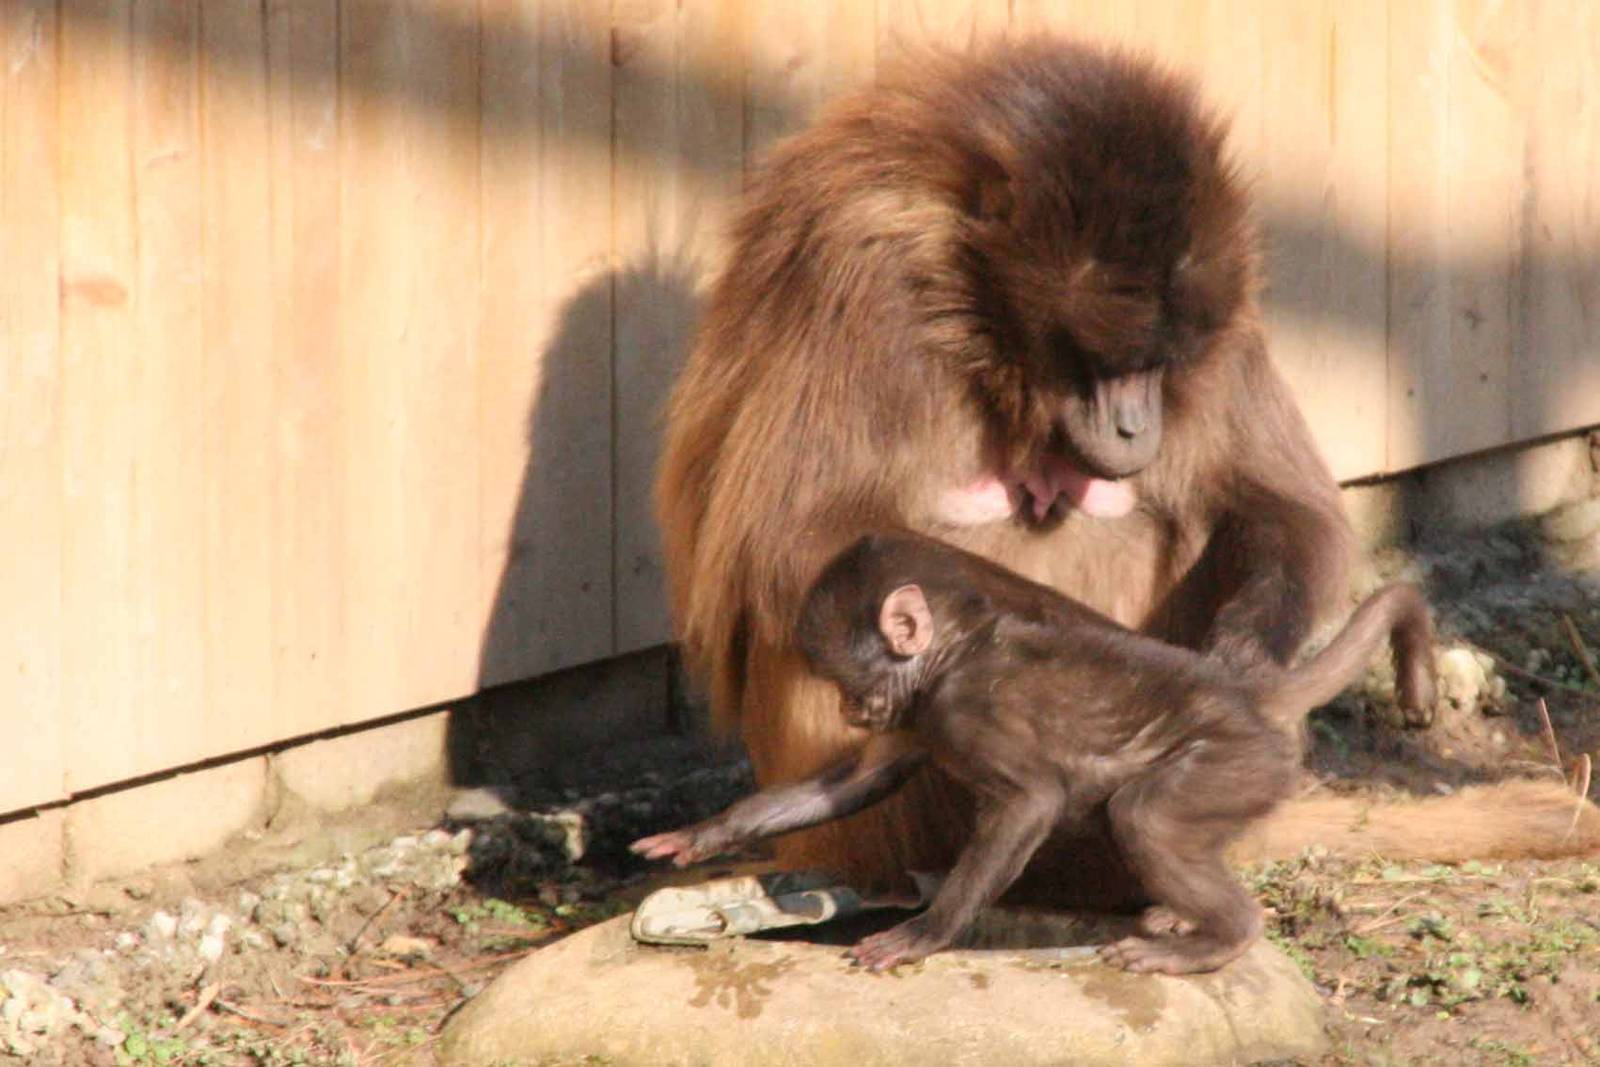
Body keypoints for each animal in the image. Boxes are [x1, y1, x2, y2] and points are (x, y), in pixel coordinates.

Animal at [634, 532, 1437, 974]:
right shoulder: (919, 714)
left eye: (840, 679)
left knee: (1143, 815)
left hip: (1236, 761)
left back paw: (1222, 935)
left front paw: (924, 933)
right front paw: (702, 835)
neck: (956, 650)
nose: (847, 709)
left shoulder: (962, 705)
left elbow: (1032, 801)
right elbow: (855, 782)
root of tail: (1243, 693)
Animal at [655, 37, 1600, 905]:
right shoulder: (859, 275)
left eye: (1160, 360)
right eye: (1105, 362)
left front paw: (1244, 648)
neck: (969, 302)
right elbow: (788, 543)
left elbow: (1283, 507)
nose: (1134, 423)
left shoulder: (1226, 309)